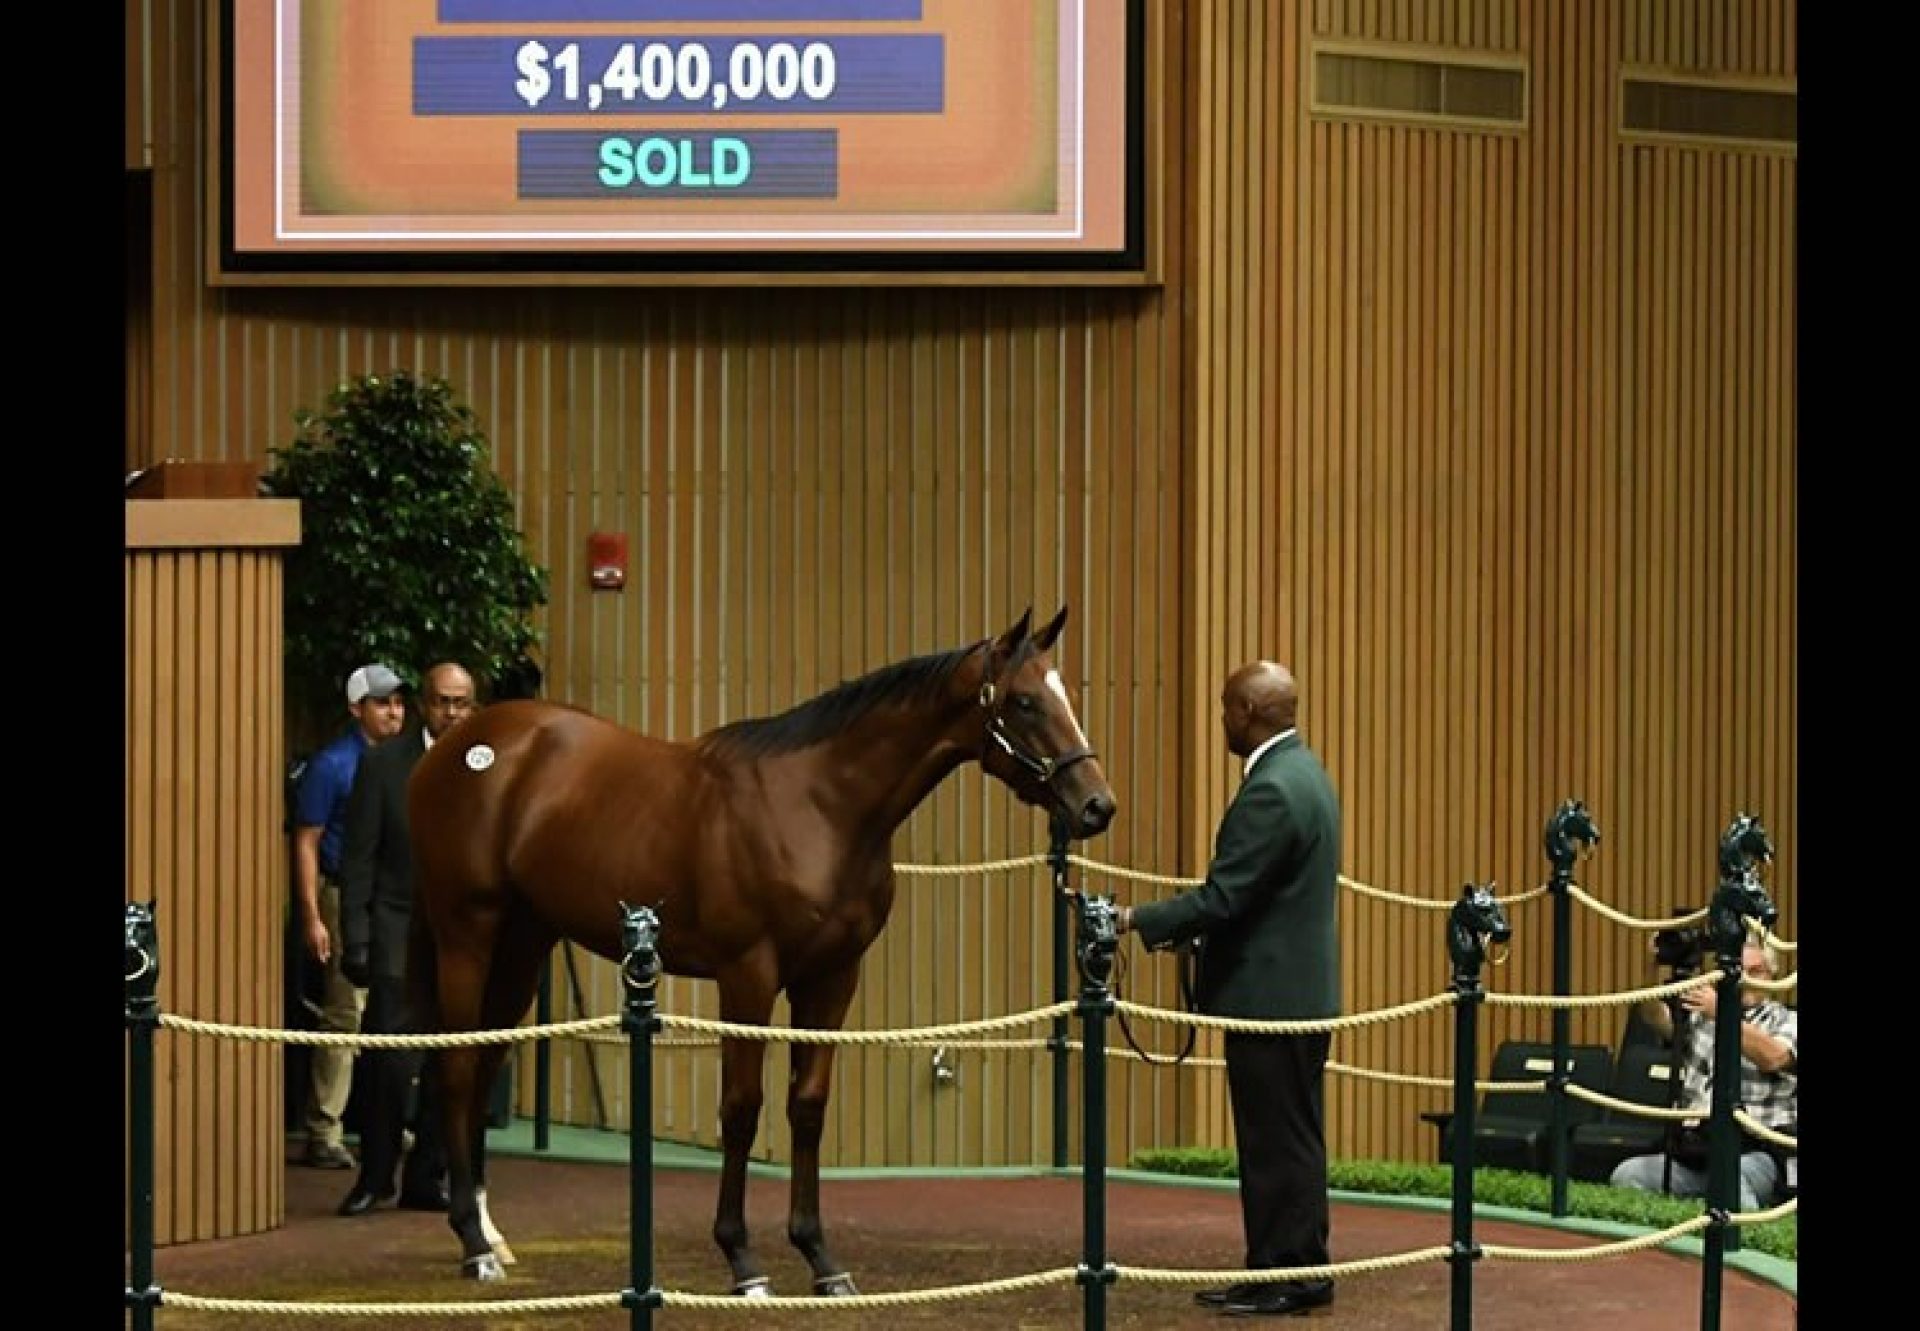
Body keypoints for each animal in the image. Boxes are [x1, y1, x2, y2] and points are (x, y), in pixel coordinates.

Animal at [412, 603, 1121, 1290]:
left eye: (1064, 693)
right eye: (1025, 701)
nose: (1097, 806)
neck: (818, 806)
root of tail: (460, 745)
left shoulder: (833, 977)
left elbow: (806, 1106)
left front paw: (820, 1257)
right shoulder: (747, 974)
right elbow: (742, 1108)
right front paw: (741, 1257)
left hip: (524, 941)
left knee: (486, 1060)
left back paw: (490, 1233)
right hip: (468, 933)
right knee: (456, 1066)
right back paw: (473, 1243)